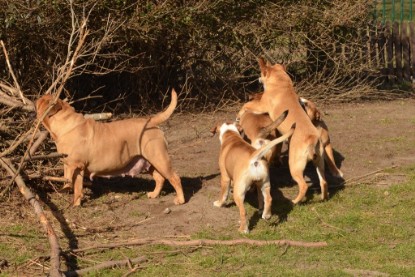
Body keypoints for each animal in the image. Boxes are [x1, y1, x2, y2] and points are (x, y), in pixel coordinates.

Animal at [35, 89, 185, 206]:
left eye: (43, 100)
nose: (38, 96)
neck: (65, 123)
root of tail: (151, 121)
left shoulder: (73, 165)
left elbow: (71, 183)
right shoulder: (75, 166)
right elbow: (76, 186)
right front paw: (76, 203)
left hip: (159, 159)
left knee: (174, 178)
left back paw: (180, 200)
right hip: (149, 161)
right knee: (160, 178)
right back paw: (154, 194)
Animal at [239, 58, 330, 204]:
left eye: (262, 73)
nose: (258, 79)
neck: (280, 81)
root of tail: (312, 139)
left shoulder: (261, 105)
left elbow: (246, 105)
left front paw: (239, 114)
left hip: (294, 165)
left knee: (303, 185)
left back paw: (295, 201)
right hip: (320, 163)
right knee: (324, 182)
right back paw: (323, 198)